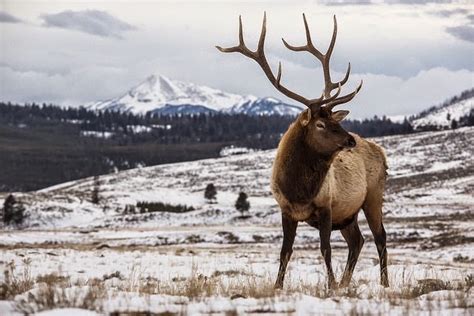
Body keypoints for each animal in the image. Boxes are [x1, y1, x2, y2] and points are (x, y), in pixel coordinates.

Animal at [218, 12, 388, 288]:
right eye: (320, 124)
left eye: (335, 121)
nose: (350, 140)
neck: (299, 190)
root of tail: (381, 153)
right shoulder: (286, 210)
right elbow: (285, 251)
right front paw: (278, 286)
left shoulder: (327, 206)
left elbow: (325, 248)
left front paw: (330, 286)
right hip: (348, 213)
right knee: (358, 241)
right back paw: (346, 282)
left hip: (373, 195)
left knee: (380, 238)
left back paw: (384, 284)